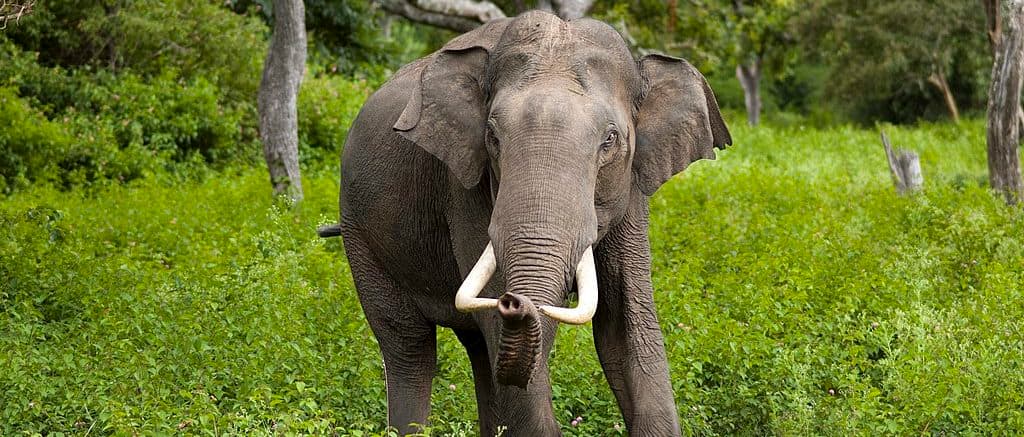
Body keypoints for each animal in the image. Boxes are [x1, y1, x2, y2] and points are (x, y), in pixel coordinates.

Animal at [321, 10, 731, 436]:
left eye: (610, 140)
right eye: (491, 136)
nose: (514, 301)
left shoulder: (633, 190)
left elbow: (626, 327)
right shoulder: (464, 187)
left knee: (478, 350)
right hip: (360, 234)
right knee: (409, 346)